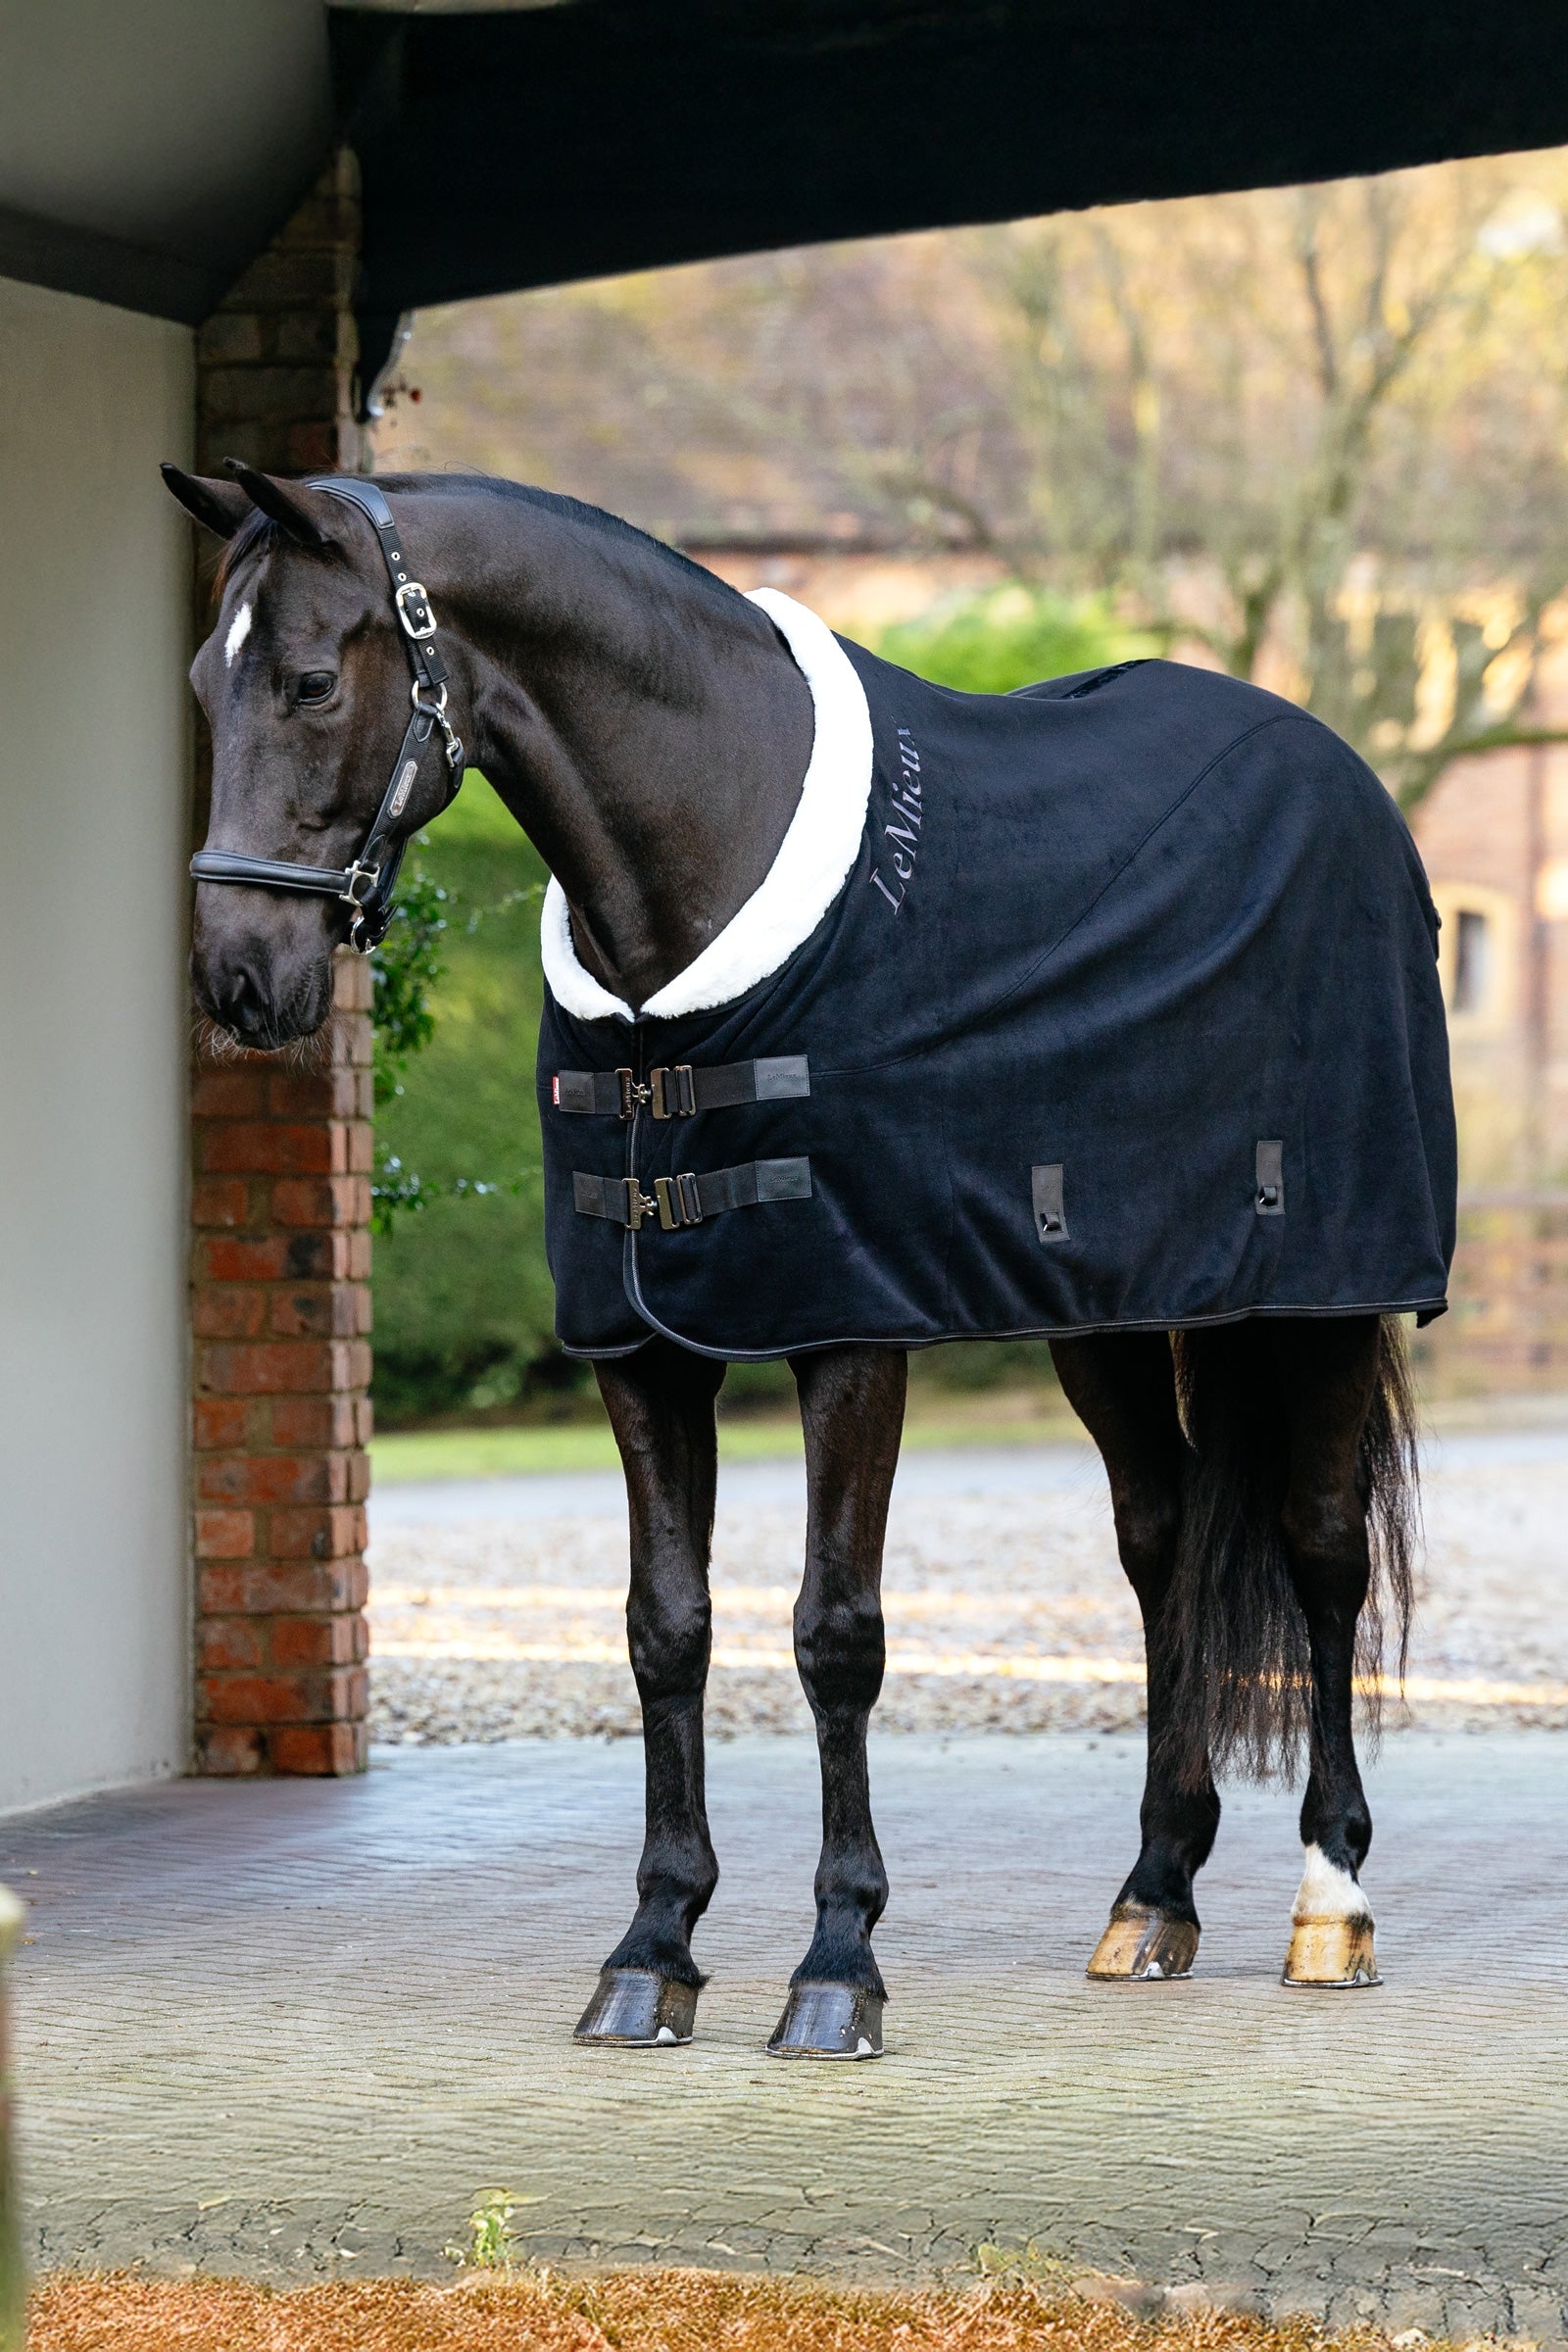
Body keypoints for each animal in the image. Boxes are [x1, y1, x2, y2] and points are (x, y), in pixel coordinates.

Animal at [162, 459, 1452, 2059]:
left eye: (312, 678)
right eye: (202, 685)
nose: (240, 983)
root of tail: (1343, 778)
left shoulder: (850, 1331)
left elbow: (836, 1635)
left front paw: (838, 1965)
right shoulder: (643, 1349)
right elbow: (666, 1630)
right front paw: (651, 1951)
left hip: (1321, 1300)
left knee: (1323, 1555)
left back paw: (1329, 1902)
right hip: (1102, 1317)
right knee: (1159, 1547)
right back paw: (1152, 1895)